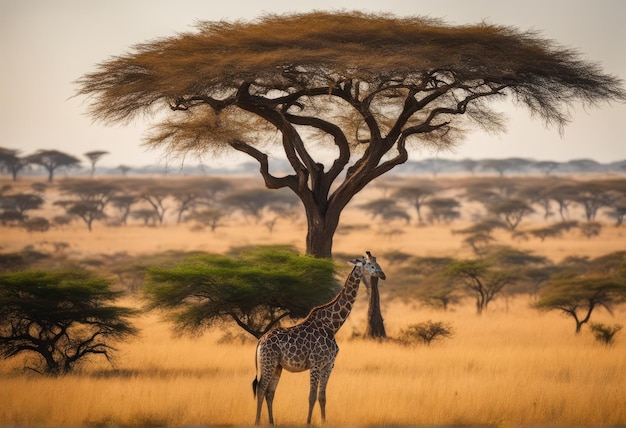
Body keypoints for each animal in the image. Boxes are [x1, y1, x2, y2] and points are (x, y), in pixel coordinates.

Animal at [251, 251, 382, 424]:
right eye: (371, 265)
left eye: (378, 264)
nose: (382, 275)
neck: (332, 326)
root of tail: (260, 341)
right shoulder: (316, 363)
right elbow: (312, 396)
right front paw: (308, 422)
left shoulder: (329, 365)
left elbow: (322, 397)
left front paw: (324, 421)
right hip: (268, 362)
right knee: (260, 389)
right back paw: (257, 421)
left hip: (277, 366)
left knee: (270, 392)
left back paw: (272, 422)